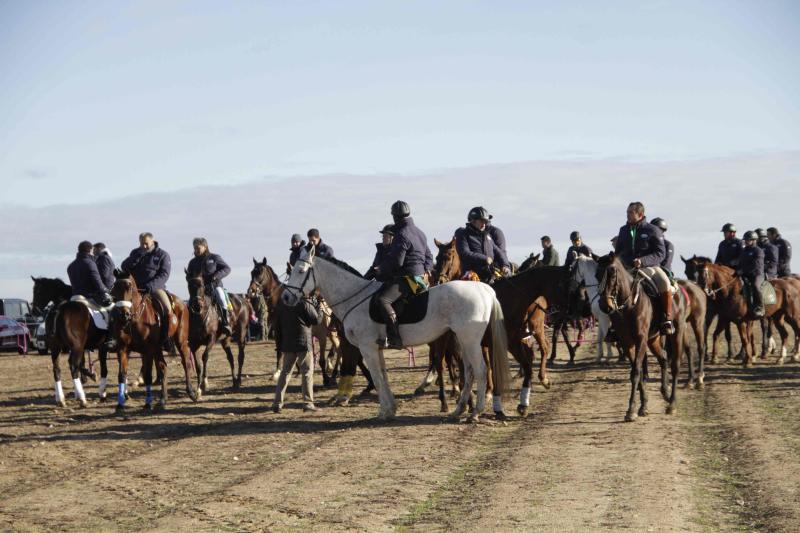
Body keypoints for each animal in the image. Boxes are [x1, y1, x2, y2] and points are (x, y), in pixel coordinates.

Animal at [31, 276, 111, 406]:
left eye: (39, 292)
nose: (34, 311)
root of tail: (59, 309)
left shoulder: (81, 348)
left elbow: (81, 365)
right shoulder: (98, 346)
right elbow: (101, 367)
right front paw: (100, 390)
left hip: (56, 348)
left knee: (57, 369)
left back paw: (61, 399)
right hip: (76, 347)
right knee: (73, 367)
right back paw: (82, 399)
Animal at [110, 272, 198, 410]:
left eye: (129, 287)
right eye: (114, 288)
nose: (124, 315)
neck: (134, 321)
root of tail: (182, 303)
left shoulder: (148, 350)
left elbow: (148, 376)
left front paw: (147, 403)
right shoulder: (123, 349)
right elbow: (122, 375)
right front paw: (120, 403)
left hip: (181, 342)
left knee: (185, 363)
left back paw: (191, 393)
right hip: (158, 349)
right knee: (163, 367)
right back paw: (163, 399)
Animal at [282, 245, 510, 420]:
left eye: (301, 271)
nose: (285, 298)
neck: (354, 297)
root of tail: (483, 289)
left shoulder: (367, 347)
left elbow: (377, 376)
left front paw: (384, 411)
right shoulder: (376, 348)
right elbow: (382, 375)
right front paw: (390, 408)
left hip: (469, 340)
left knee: (480, 370)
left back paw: (475, 412)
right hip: (463, 340)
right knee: (470, 371)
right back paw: (459, 410)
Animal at [596, 252, 692, 420]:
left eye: (612, 274)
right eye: (596, 275)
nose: (604, 305)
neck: (629, 306)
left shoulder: (640, 340)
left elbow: (636, 372)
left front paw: (631, 410)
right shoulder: (627, 342)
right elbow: (639, 372)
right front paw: (642, 406)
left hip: (677, 332)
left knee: (675, 365)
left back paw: (672, 403)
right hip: (653, 340)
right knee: (663, 358)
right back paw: (665, 392)